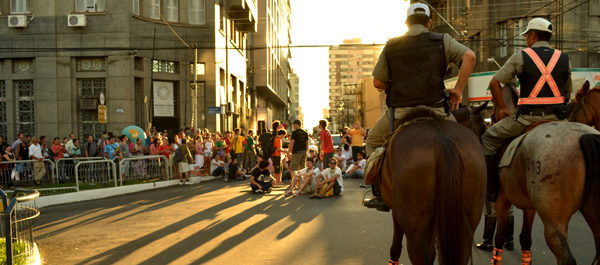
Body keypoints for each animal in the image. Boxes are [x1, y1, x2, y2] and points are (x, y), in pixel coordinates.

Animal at [380, 106, 488, 262]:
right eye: (483, 128)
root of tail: (443, 141)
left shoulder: (396, 212)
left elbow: (395, 248)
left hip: (415, 231)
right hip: (467, 225)